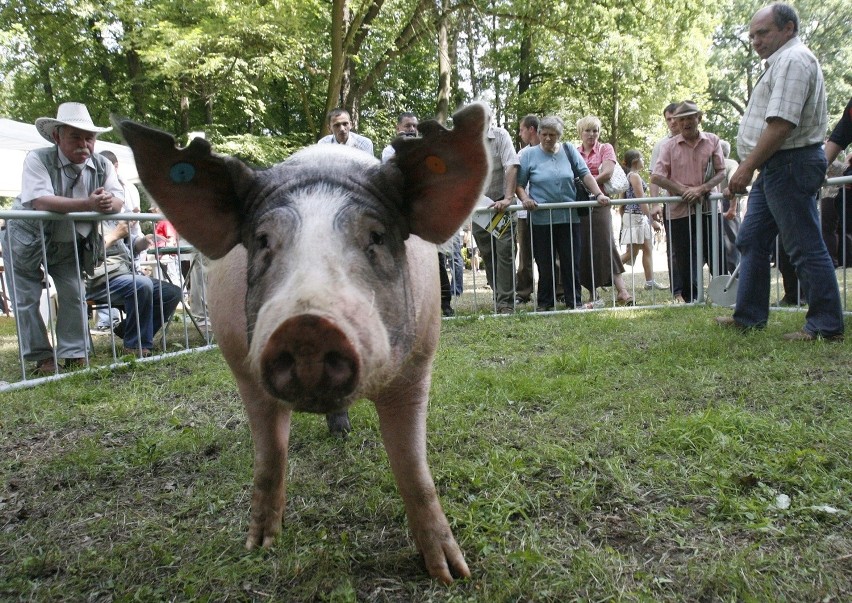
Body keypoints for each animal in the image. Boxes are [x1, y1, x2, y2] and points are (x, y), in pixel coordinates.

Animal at [117, 105, 492, 584]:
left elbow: (413, 470)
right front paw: (259, 545)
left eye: (376, 236)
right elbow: (269, 458)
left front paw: (452, 574)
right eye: (262, 241)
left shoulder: (417, 363)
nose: (308, 326)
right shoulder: (243, 366)